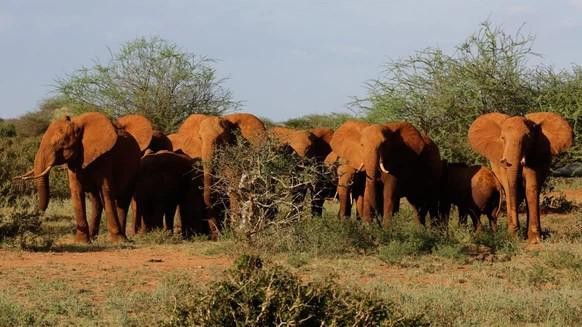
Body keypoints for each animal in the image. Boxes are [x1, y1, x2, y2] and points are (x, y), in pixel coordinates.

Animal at [21, 113, 153, 243]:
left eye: (61, 143)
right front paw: (81, 242)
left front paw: (117, 240)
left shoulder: (105, 157)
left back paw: (123, 238)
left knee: (123, 201)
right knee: (96, 200)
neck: (77, 123)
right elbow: (76, 191)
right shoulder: (75, 160)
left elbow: (106, 191)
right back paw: (94, 237)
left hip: (134, 169)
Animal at [470, 113, 576, 243]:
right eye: (502, 138)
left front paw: (534, 240)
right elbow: (509, 188)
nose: (515, 231)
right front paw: (512, 235)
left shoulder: (534, 156)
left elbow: (531, 187)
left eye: (528, 138)